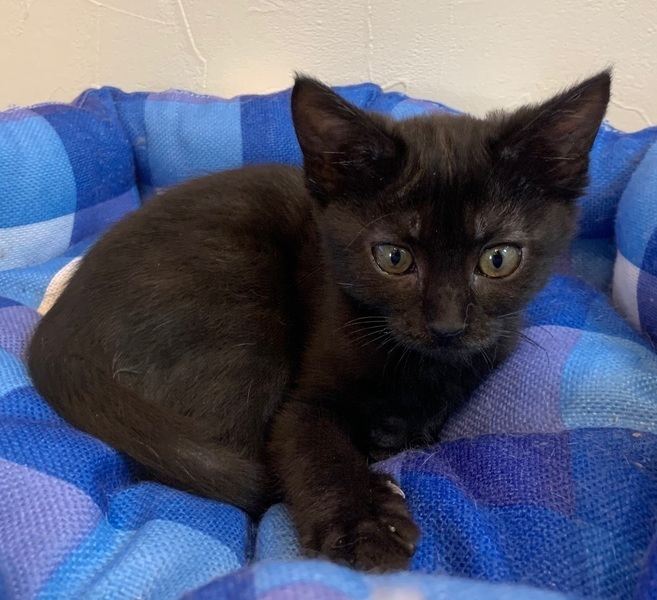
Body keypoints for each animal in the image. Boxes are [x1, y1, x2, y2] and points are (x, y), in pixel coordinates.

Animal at [28, 71, 610, 571]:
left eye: (498, 259)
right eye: (393, 257)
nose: (446, 325)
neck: (419, 365)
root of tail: (52, 338)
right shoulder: (305, 401)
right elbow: (311, 443)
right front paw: (363, 526)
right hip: (243, 309)